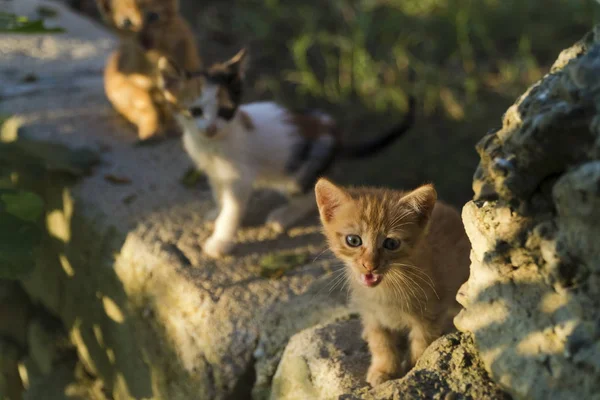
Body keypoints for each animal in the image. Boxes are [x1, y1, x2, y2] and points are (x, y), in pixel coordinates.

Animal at [95, 0, 202, 141]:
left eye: (153, 16)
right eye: (126, 22)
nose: (144, 42)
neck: (155, 58)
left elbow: (174, 105)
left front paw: (176, 127)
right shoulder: (129, 84)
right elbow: (146, 106)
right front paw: (151, 131)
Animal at [157, 49, 414, 260]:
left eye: (225, 111)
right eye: (195, 111)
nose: (210, 128)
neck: (212, 145)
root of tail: (336, 135)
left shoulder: (241, 179)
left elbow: (232, 210)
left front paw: (219, 242)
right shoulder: (215, 172)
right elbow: (219, 194)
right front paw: (215, 212)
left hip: (296, 176)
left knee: (310, 198)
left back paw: (283, 216)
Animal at [312, 178, 472, 384]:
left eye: (391, 243)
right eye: (353, 240)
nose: (370, 265)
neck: (385, 293)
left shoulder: (430, 315)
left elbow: (421, 344)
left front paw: (413, 369)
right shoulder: (372, 315)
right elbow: (381, 343)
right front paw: (384, 369)